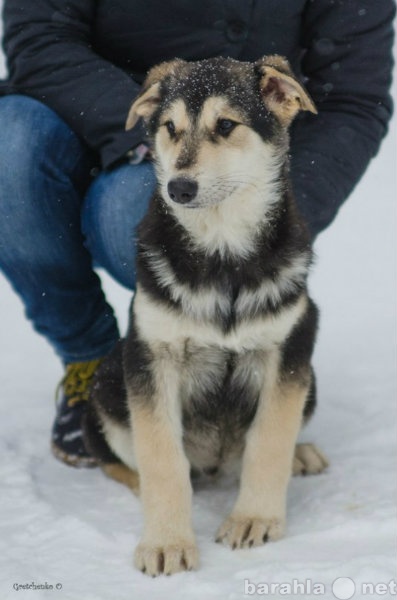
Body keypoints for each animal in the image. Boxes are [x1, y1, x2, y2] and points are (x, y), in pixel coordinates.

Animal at [82, 56, 326, 576]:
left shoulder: (291, 346)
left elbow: (270, 439)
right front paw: (166, 542)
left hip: (311, 379)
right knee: (121, 460)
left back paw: (301, 455)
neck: (223, 254)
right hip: (109, 383)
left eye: (227, 126)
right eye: (170, 128)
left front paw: (254, 519)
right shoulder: (150, 355)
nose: (178, 187)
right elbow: (162, 458)